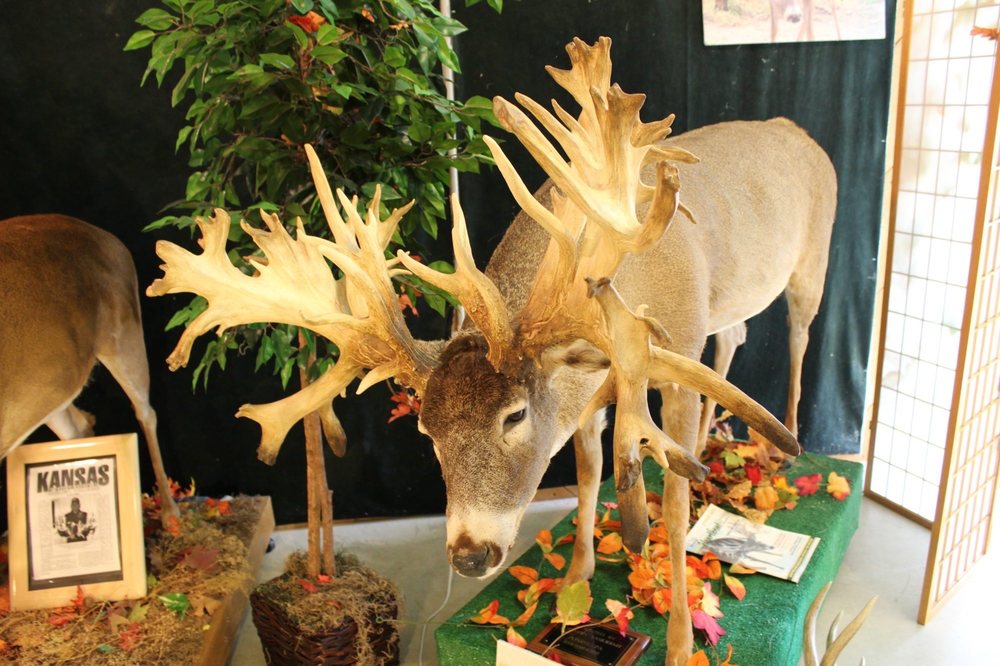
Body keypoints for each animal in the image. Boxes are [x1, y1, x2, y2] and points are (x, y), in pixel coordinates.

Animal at [0, 215, 178, 523]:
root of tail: (107, 236)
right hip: (49, 392)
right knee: (79, 426)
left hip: (125, 338)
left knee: (145, 412)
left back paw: (170, 513)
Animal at [147, 37, 836, 664]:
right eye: (426, 431)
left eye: (515, 415)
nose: (471, 553)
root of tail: (798, 132)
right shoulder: (596, 389)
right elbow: (588, 472)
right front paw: (576, 580)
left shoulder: (669, 352)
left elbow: (670, 500)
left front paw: (681, 640)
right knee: (739, 333)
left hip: (813, 263)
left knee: (799, 334)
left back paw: (784, 444)